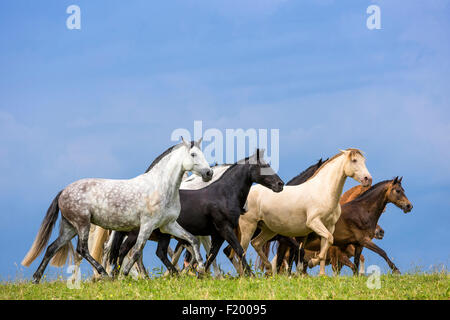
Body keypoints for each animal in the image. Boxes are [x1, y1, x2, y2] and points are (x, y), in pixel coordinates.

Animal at [23, 138, 214, 282]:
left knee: (52, 248)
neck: (160, 187)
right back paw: (105, 274)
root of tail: (63, 191)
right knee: (82, 250)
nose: (209, 173)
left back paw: (36, 279)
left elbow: (192, 240)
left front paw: (201, 269)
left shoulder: (168, 225)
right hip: (82, 224)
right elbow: (136, 251)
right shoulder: (147, 225)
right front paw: (123, 275)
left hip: (69, 227)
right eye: (193, 154)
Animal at [109, 149, 284, 276]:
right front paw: (250, 275)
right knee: (124, 251)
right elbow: (239, 250)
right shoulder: (224, 229)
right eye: (263, 167)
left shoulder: (218, 235)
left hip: (164, 233)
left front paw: (202, 275)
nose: (280, 184)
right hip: (138, 232)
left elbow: (211, 255)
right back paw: (117, 276)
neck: (224, 194)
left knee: (160, 253)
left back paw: (175, 275)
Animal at [237, 149, 370, 276]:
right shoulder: (313, 223)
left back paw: (268, 268)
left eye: (364, 161)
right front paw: (311, 263)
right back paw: (244, 275)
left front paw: (321, 273)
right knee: (241, 249)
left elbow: (326, 243)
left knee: (256, 243)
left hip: (268, 229)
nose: (368, 179)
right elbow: (327, 240)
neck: (323, 191)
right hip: (248, 227)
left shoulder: (329, 226)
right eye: (354, 160)